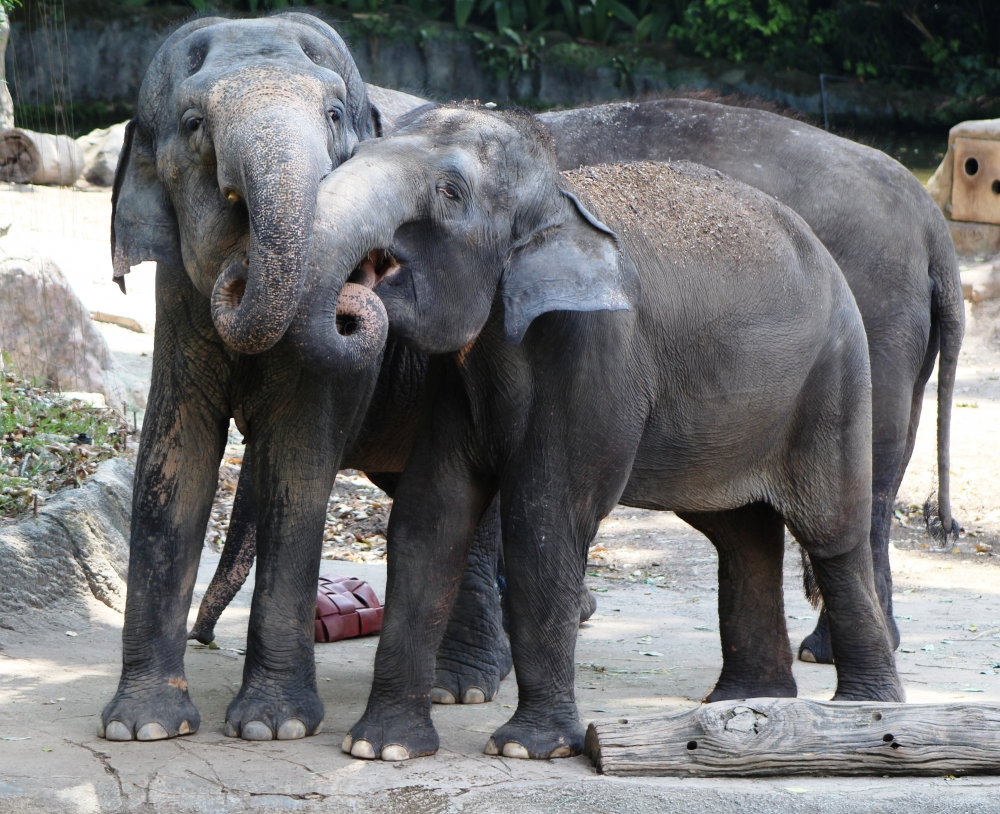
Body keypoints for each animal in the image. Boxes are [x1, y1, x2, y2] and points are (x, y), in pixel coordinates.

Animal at [291, 104, 903, 761]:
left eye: (449, 192)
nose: (352, 298)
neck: (561, 200)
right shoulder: (455, 381)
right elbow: (429, 516)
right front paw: (381, 749)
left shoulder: (597, 351)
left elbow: (544, 520)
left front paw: (528, 750)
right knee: (741, 534)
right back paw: (746, 703)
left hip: (835, 380)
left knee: (832, 532)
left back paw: (868, 713)